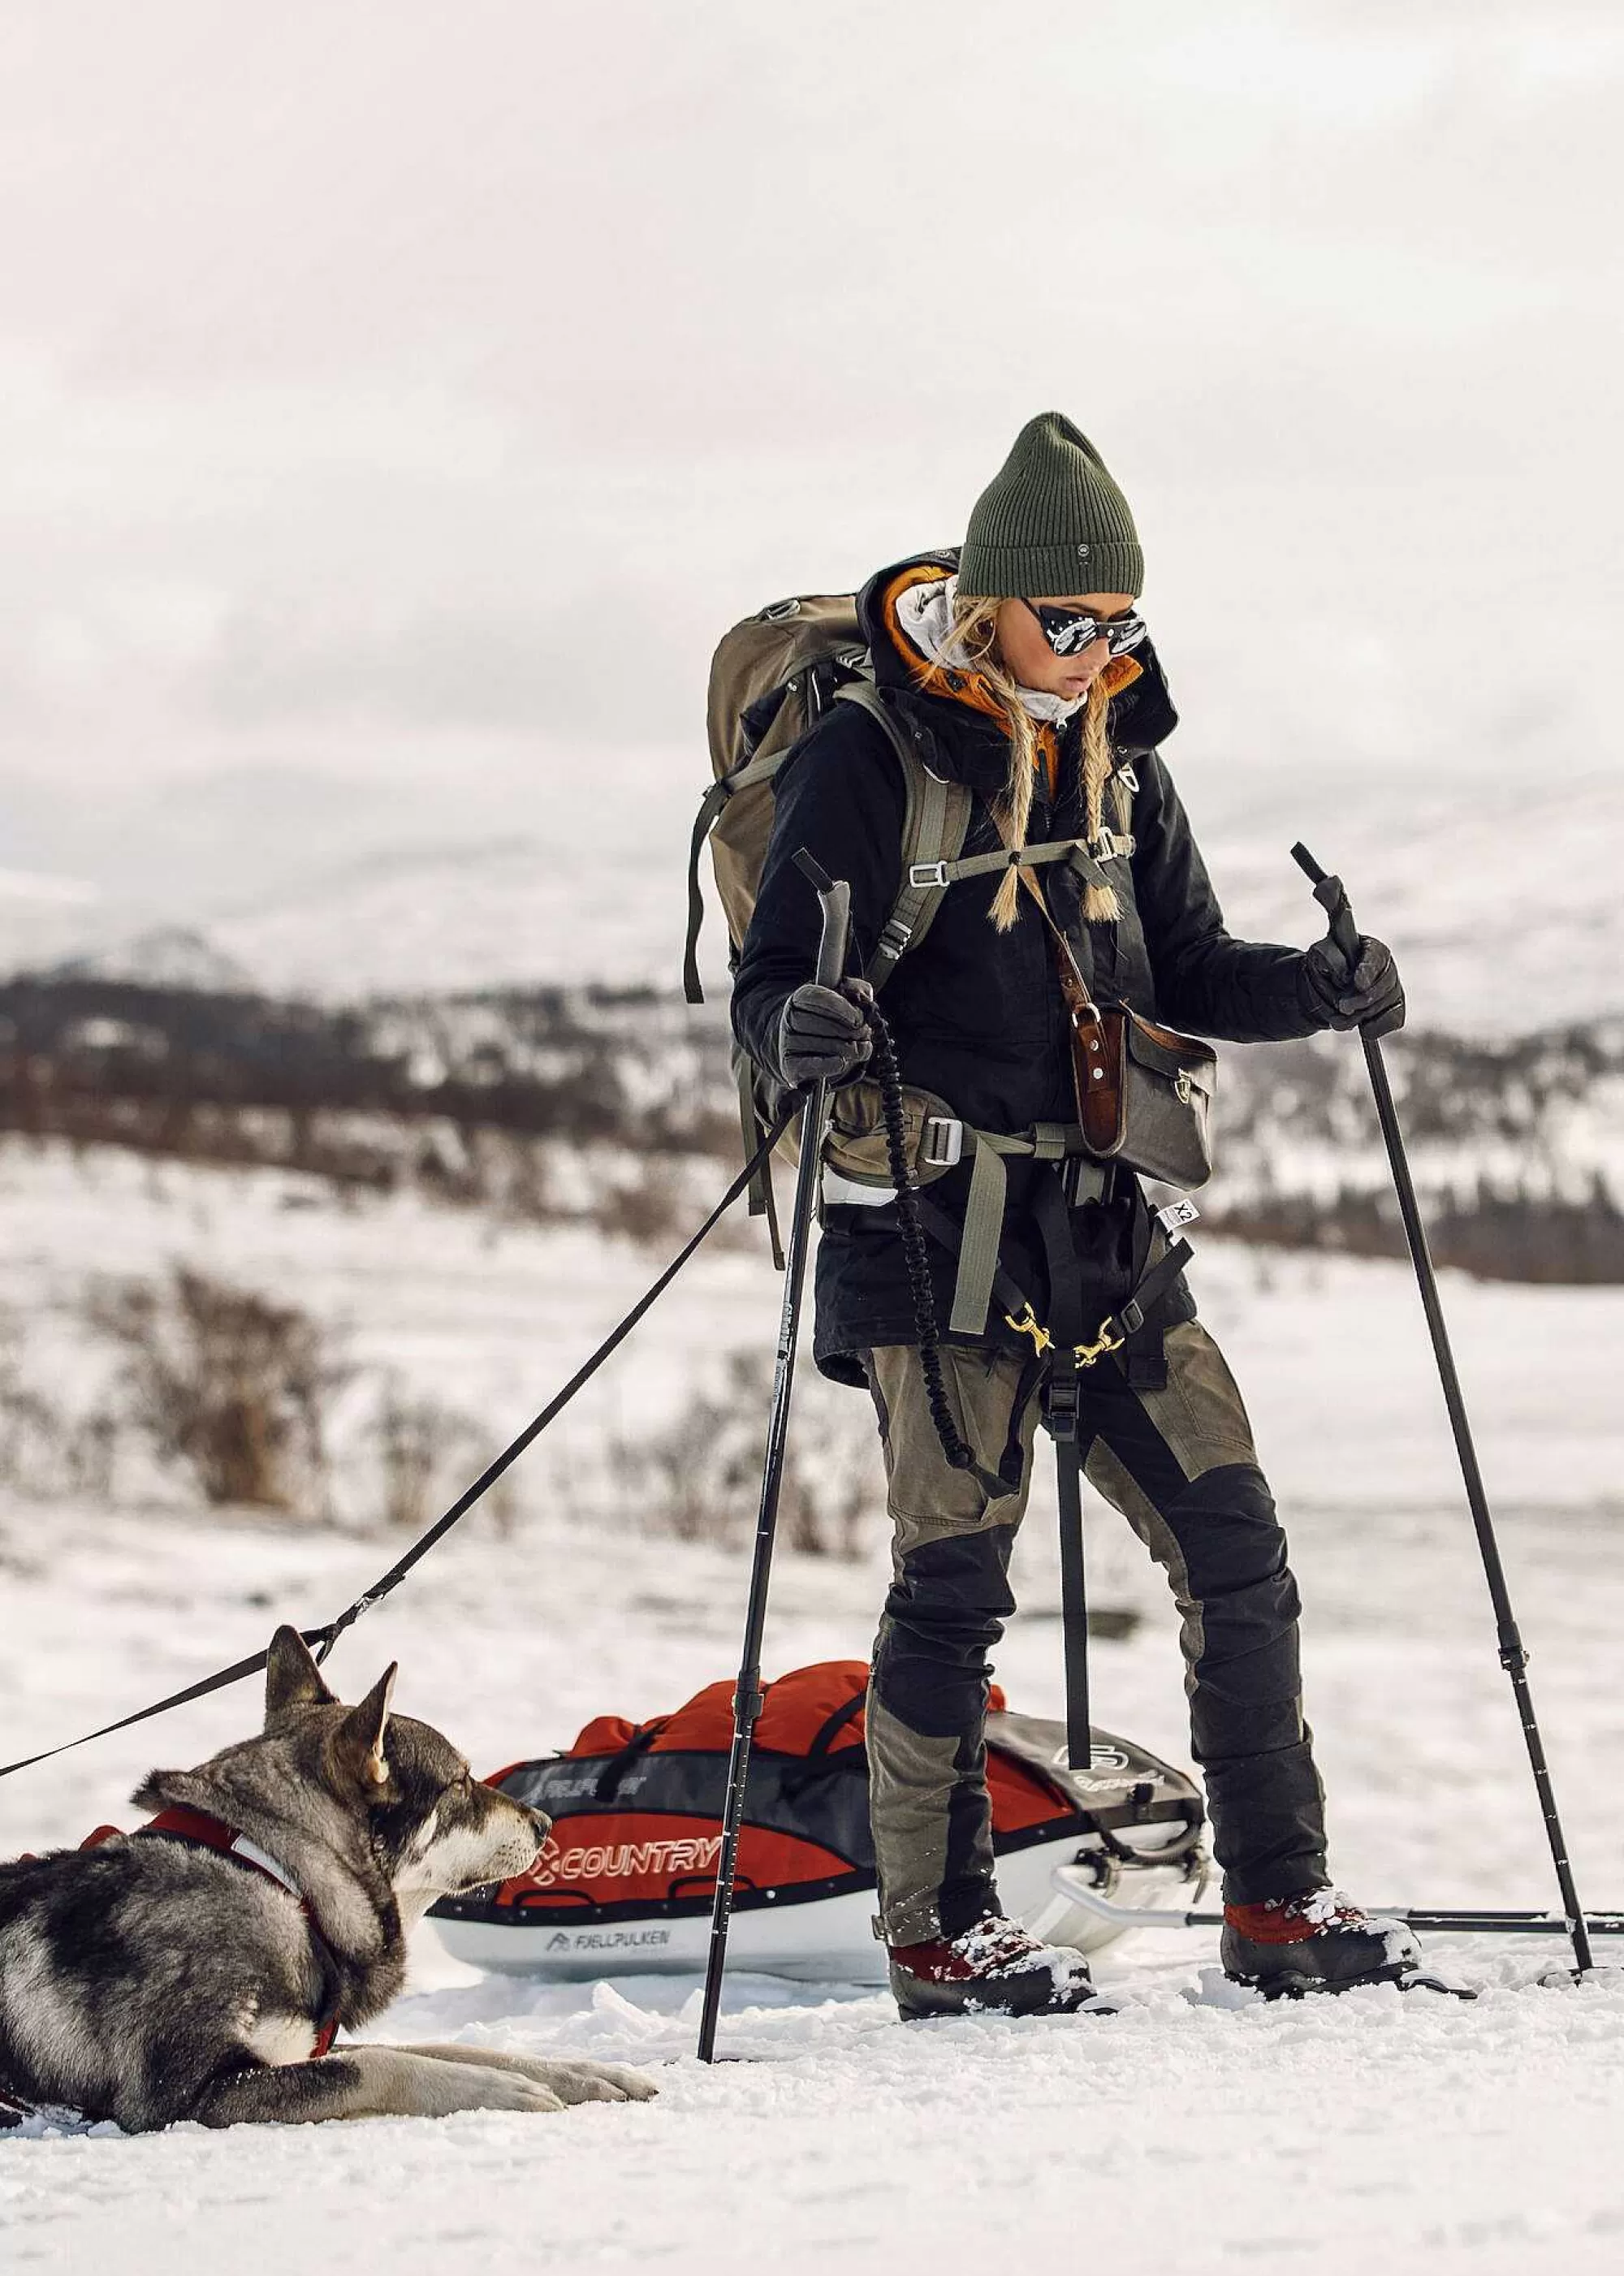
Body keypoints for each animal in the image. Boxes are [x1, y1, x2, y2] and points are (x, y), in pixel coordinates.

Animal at [1, 1620, 659, 2130]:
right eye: (461, 1782)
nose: (545, 1823)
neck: (281, 1874)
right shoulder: (187, 2096)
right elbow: (379, 2064)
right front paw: (500, 2092)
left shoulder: (306, 2046)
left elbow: (452, 2045)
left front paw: (581, 2072)